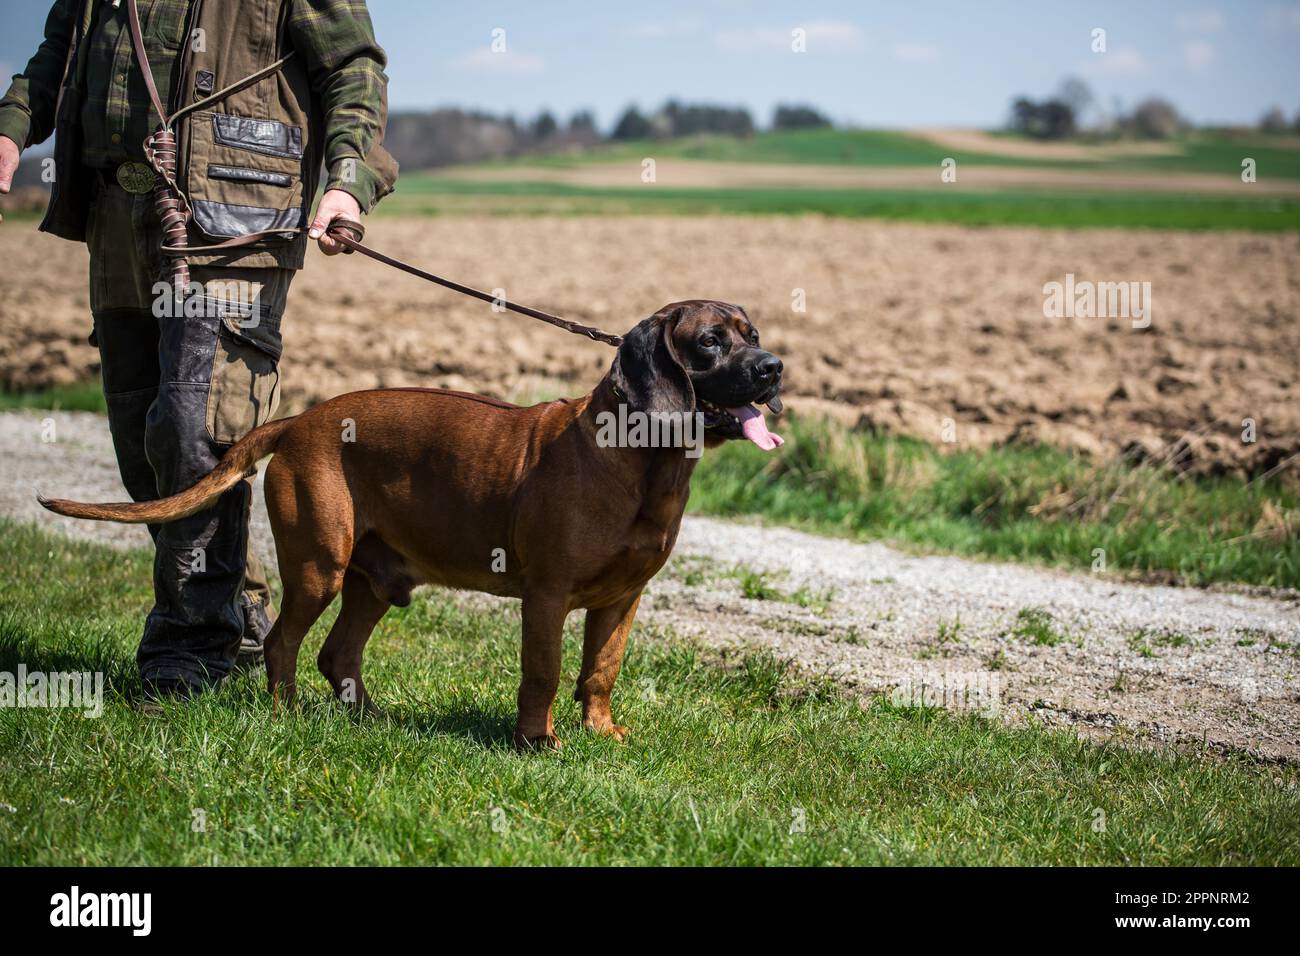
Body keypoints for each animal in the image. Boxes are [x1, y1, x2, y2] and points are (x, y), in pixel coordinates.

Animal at [43, 299, 780, 749]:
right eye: (710, 342)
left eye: (755, 336)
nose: (775, 368)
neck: (645, 459)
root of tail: (302, 420)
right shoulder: (546, 596)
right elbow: (543, 671)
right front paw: (536, 741)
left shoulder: (622, 600)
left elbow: (601, 669)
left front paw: (599, 731)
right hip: (318, 566)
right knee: (282, 644)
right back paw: (285, 717)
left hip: (374, 580)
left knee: (336, 654)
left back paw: (369, 717)